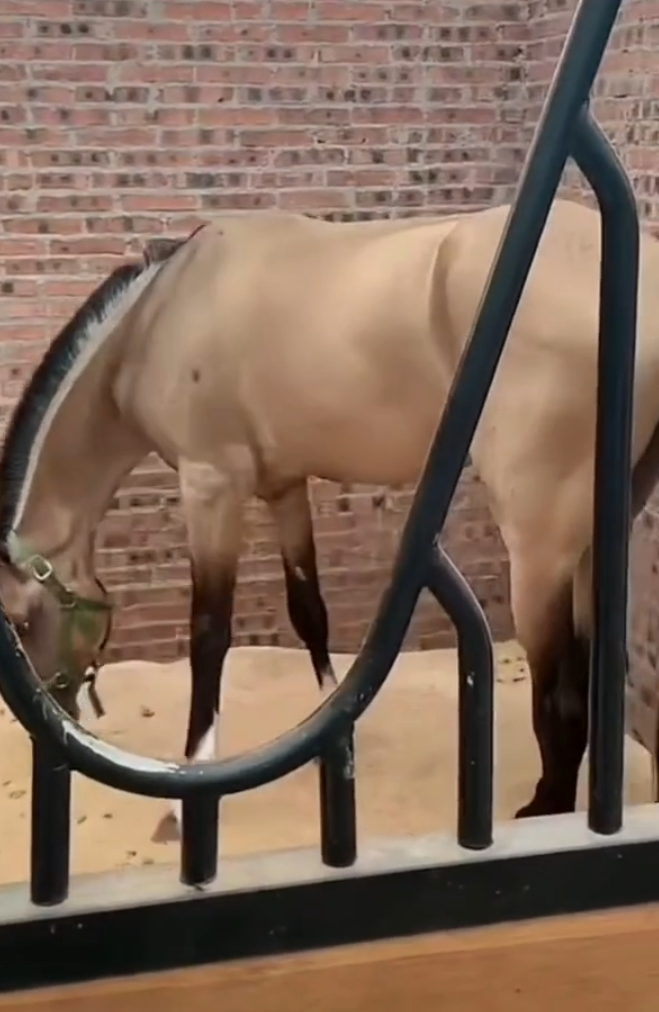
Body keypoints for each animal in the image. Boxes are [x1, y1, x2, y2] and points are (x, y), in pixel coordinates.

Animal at [0, 197, 657, 834]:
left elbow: (209, 636)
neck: (162, 314)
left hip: (540, 547)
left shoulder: (210, 485)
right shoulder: (285, 487)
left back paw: (546, 809)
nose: (58, 709)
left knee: (562, 692)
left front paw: (185, 798)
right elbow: (309, 611)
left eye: (24, 623)